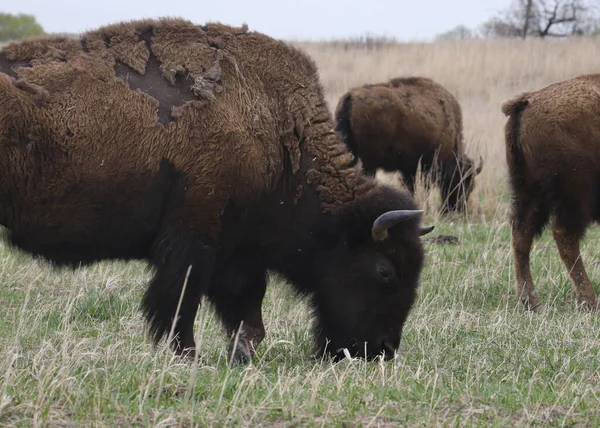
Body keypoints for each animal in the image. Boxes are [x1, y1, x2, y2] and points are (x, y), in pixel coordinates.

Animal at [0, 17, 434, 364]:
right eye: (384, 269)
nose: (382, 349)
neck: (277, 137)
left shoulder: (237, 250)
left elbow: (245, 307)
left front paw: (241, 353)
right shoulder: (194, 240)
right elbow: (181, 302)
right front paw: (189, 356)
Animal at [332, 77, 482, 214]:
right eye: (465, 182)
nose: (459, 209)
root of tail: (351, 97)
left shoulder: (410, 168)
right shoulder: (426, 165)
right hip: (369, 160)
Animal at [502, 74, 600, 310]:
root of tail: (528, 101)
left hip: (529, 191)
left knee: (522, 232)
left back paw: (529, 300)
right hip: (577, 194)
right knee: (564, 234)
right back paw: (589, 300)